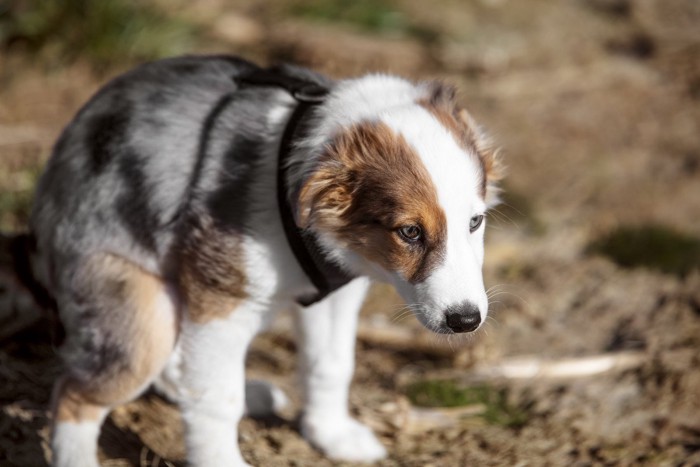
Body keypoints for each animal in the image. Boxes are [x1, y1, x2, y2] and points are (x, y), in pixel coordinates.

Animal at [26, 54, 498, 464]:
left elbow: (331, 364)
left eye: (475, 222)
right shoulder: (220, 298)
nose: (465, 321)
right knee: (75, 394)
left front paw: (331, 434)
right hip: (141, 311)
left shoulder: (336, 292)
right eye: (410, 232)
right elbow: (217, 398)